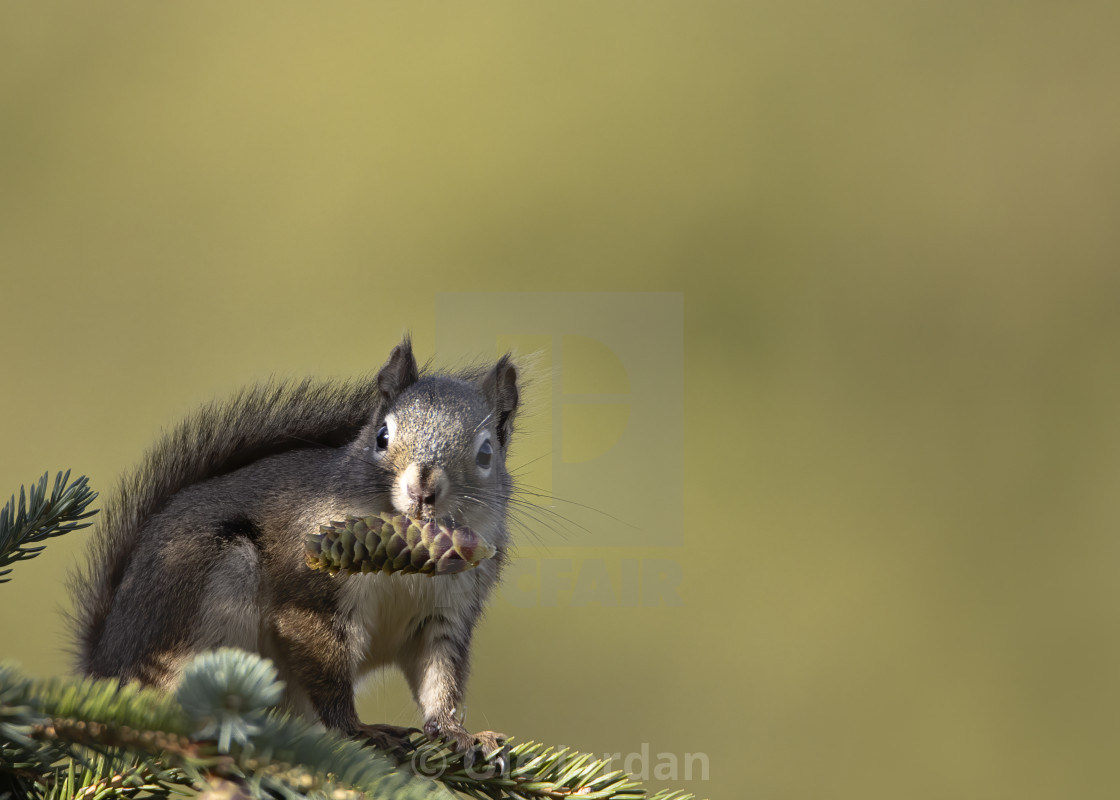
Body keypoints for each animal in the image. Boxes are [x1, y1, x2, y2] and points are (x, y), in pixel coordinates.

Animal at [68, 338, 519, 761]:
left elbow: (440, 680)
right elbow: (324, 666)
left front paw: (458, 733)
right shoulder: (311, 595)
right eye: (382, 436)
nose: (422, 489)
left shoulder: (446, 615)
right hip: (209, 591)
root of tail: (103, 670)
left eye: (486, 453)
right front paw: (359, 730)